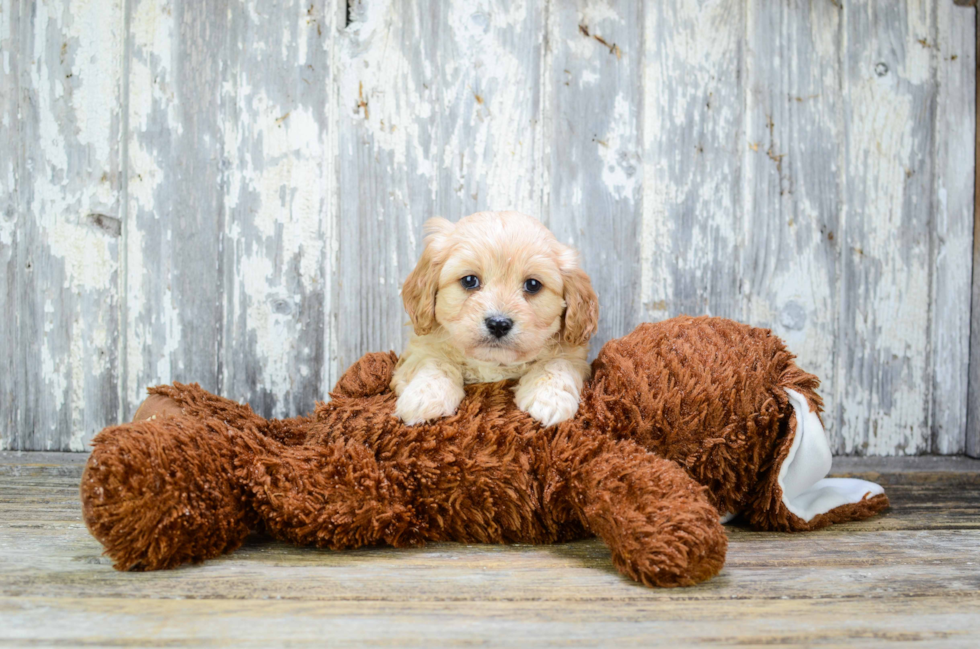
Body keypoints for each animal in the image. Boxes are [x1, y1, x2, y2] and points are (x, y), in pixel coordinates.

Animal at [392, 210, 596, 428]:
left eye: (533, 284)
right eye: (469, 280)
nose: (498, 324)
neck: (493, 363)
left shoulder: (574, 354)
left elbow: (556, 363)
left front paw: (550, 399)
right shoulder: (418, 350)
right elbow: (435, 362)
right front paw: (424, 397)